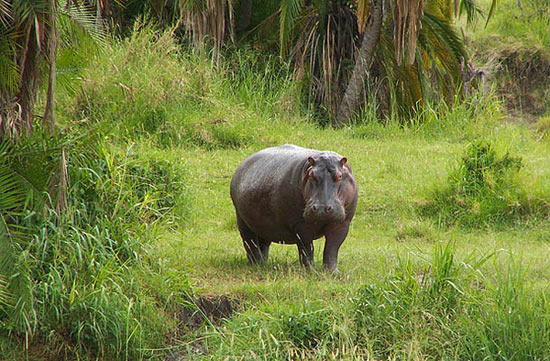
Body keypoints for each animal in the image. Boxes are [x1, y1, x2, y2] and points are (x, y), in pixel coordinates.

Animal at [231, 143, 360, 270]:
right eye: (311, 175)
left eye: (339, 176)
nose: (321, 208)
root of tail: (242, 164)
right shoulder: (301, 224)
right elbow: (306, 248)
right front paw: (310, 270)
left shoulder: (342, 223)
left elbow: (332, 247)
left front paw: (331, 272)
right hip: (242, 220)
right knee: (250, 243)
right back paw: (256, 265)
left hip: (263, 225)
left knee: (263, 243)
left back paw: (263, 264)